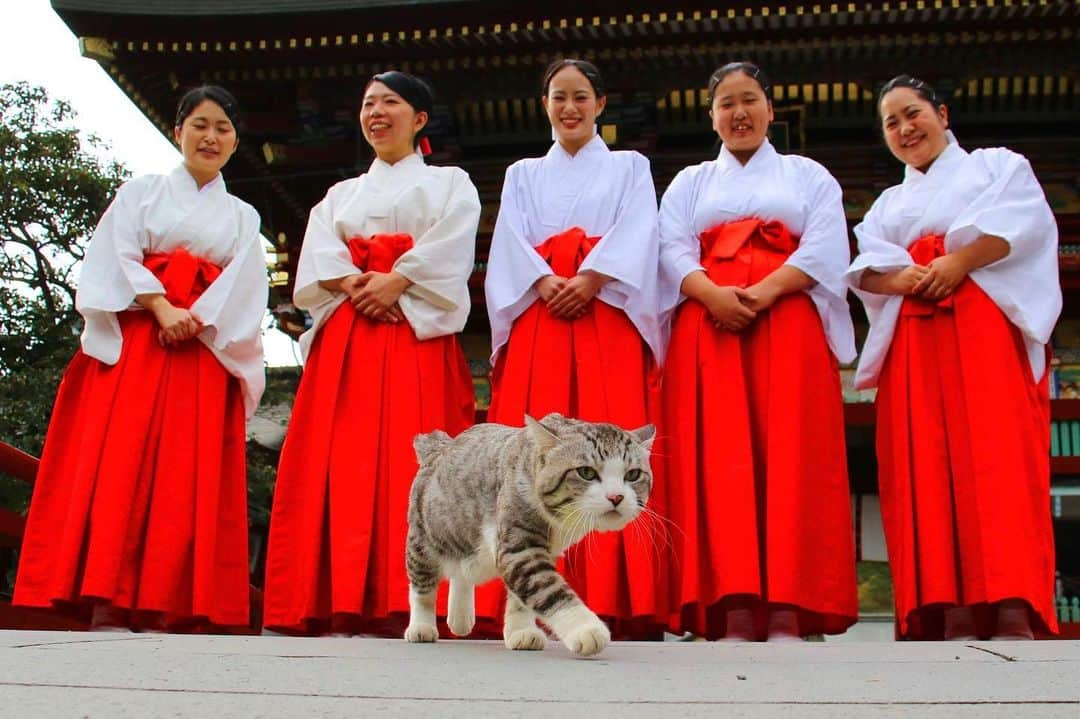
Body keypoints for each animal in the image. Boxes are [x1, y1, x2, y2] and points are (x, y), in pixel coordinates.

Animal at [406, 408, 652, 656]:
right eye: (586, 472)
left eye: (633, 475)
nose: (616, 497)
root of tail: (439, 447)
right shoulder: (520, 547)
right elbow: (547, 587)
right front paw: (586, 628)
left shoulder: (542, 550)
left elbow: (520, 599)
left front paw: (522, 632)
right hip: (423, 538)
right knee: (422, 584)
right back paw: (421, 626)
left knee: (462, 572)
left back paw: (460, 618)